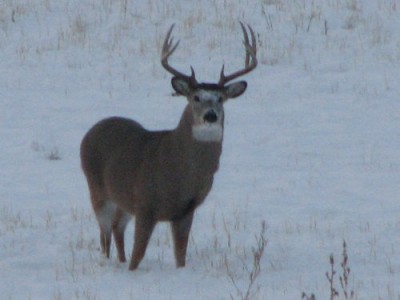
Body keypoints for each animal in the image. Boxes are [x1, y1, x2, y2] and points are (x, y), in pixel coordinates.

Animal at [79, 22, 258, 272]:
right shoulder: (145, 203)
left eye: (221, 99)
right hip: (97, 189)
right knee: (104, 233)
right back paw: (107, 262)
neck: (179, 171)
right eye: (195, 97)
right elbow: (138, 255)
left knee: (116, 228)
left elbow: (180, 257)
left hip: (122, 198)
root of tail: (92, 130)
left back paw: (119, 261)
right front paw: (132, 272)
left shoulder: (186, 210)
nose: (210, 116)